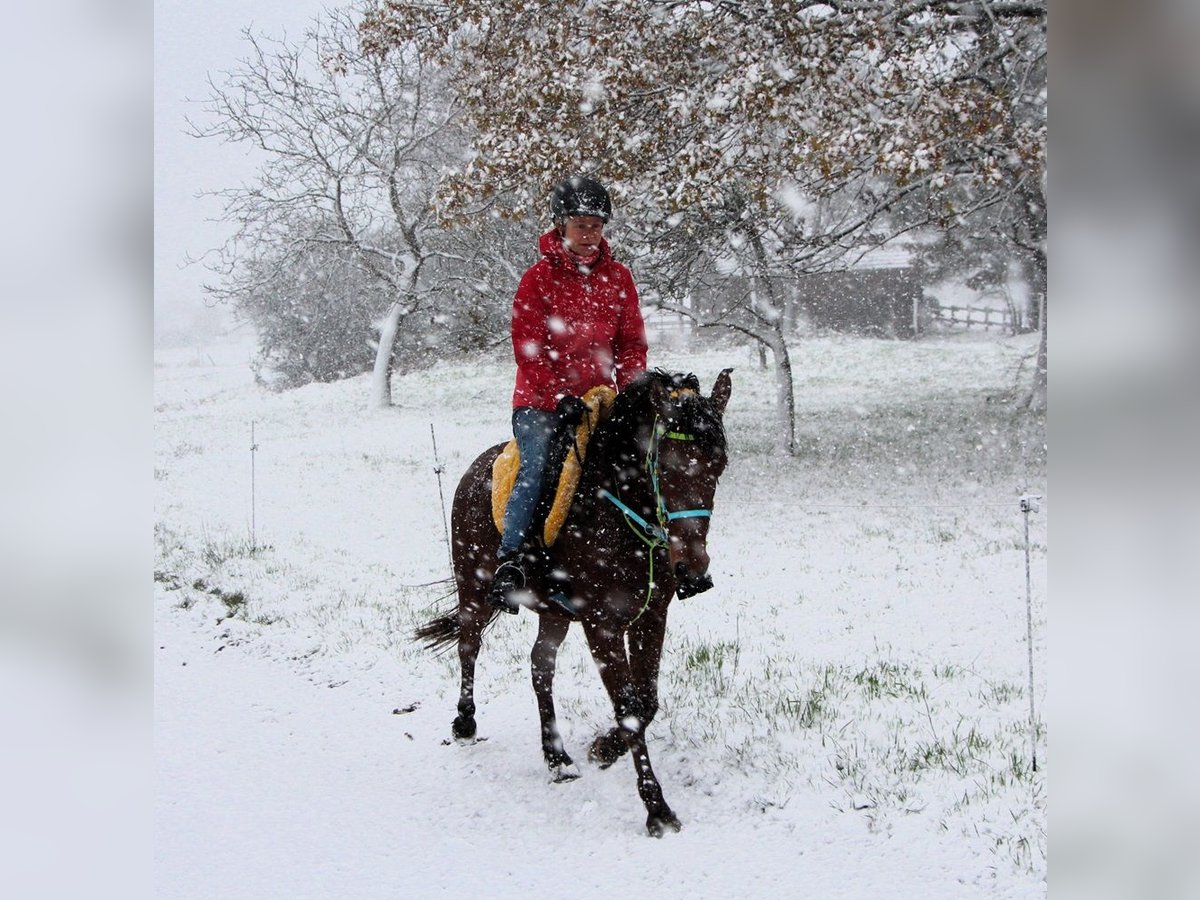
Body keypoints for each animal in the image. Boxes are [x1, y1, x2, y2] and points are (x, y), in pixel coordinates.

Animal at [412, 367, 729, 840]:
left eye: (719, 465)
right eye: (665, 464)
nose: (692, 569)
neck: (616, 509)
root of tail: (475, 469)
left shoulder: (651, 615)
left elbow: (647, 700)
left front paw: (604, 748)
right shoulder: (602, 625)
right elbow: (630, 709)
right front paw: (656, 808)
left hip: (555, 613)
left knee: (540, 666)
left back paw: (556, 757)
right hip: (475, 588)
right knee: (470, 645)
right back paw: (465, 722)